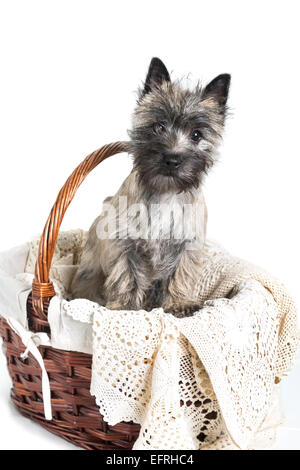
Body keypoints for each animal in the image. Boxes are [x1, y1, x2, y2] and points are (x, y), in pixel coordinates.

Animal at [71, 59, 231, 316]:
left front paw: (179, 303)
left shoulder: (186, 246)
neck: (166, 193)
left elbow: (181, 274)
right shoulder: (125, 246)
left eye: (197, 135)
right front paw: (125, 308)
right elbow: (127, 277)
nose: (172, 159)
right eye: (158, 126)